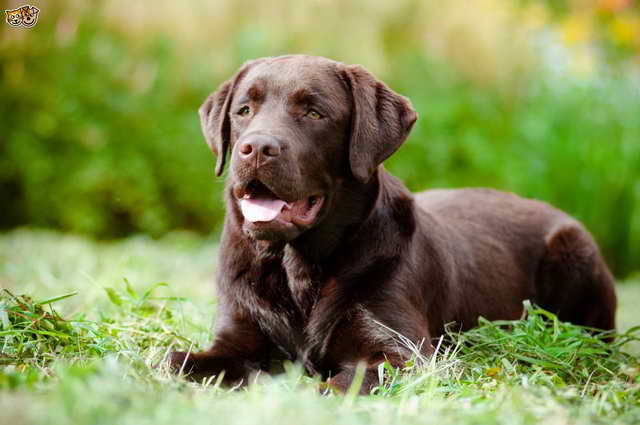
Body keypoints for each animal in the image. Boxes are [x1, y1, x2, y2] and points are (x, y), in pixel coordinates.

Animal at [168, 54, 616, 392]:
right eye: (244, 110)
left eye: (314, 113)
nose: (256, 148)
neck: (298, 269)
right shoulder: (234, 336)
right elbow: (173, 361)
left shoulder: (401, 354)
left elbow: (330, 385)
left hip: (575, 251)